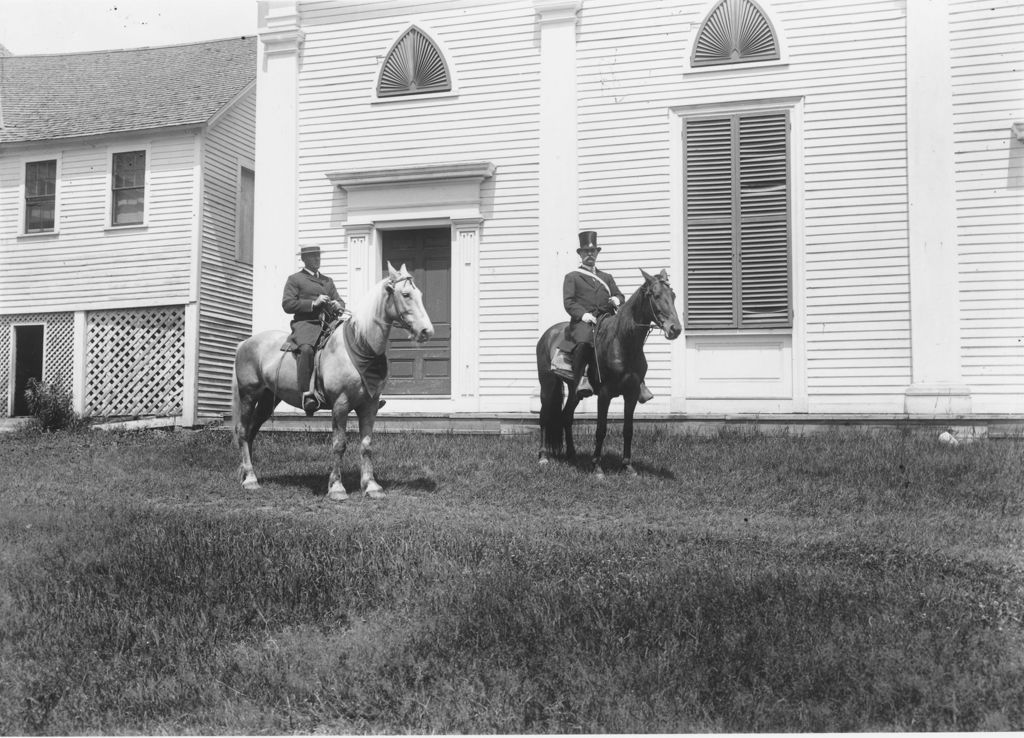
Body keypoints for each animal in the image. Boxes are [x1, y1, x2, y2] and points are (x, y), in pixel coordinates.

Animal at [232, 264, 432, 501]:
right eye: (406, 294)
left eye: (420, 294)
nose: (426, 331)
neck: (359, 346)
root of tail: (245, 343)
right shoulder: (340, 405)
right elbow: (339, 445)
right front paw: (336, 487)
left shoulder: (370, 405)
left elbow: (366, 445)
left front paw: (371, 486)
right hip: (249, 395)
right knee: (243, 432)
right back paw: (251, 480)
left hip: (267, 399)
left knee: (251, 431)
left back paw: (246, 474)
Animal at [536, 268, 679, 474]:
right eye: (656, 295)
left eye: (673, 295)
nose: (675, 329)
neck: (622, 343)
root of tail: (548, 334)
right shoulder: (604, 394)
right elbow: (601, 429)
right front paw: (597, 467)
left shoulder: (631, 393)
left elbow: (628, 429)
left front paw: (627, 466)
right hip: (547, 384)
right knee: (544, 417)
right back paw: (543, 457)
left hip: (574, 390)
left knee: (566, 417)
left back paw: (572, 455)